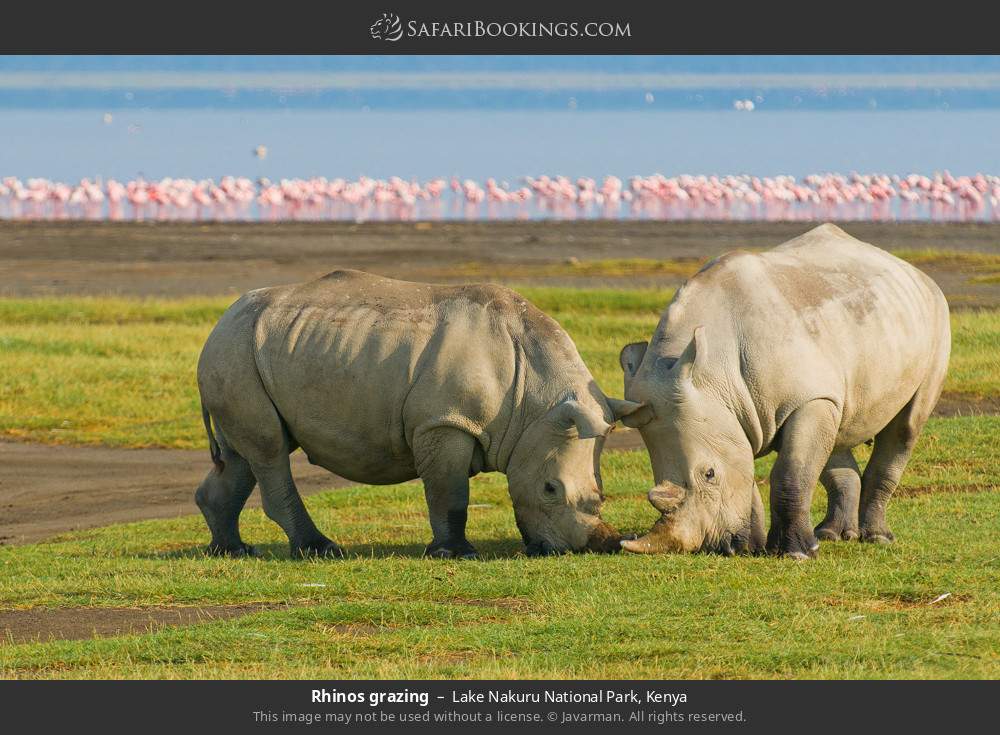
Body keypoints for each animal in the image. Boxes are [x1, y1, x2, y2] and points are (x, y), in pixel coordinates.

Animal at [193, 268, 640, 556]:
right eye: (550, 489)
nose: (592, 546)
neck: (535, 401)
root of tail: (220, 321)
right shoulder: (444, 421)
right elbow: (450, 491)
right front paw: (455, 553)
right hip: (235, 350)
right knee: (269, 450)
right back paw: (320, 550)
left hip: (248, 351)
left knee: (244, 454)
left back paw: (233, 550)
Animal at [616, 224, 952, 556]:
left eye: (709, 474)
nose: (718, 548)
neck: (713, 372)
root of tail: (912, 270)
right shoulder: (733, 413)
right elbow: (749, 471)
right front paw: (754, 547)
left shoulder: (806, 398)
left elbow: (791, 472)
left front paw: (794, 553)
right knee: (837, 429)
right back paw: (832, 535)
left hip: (937, 316)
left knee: (905, 427)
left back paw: (877, 538)